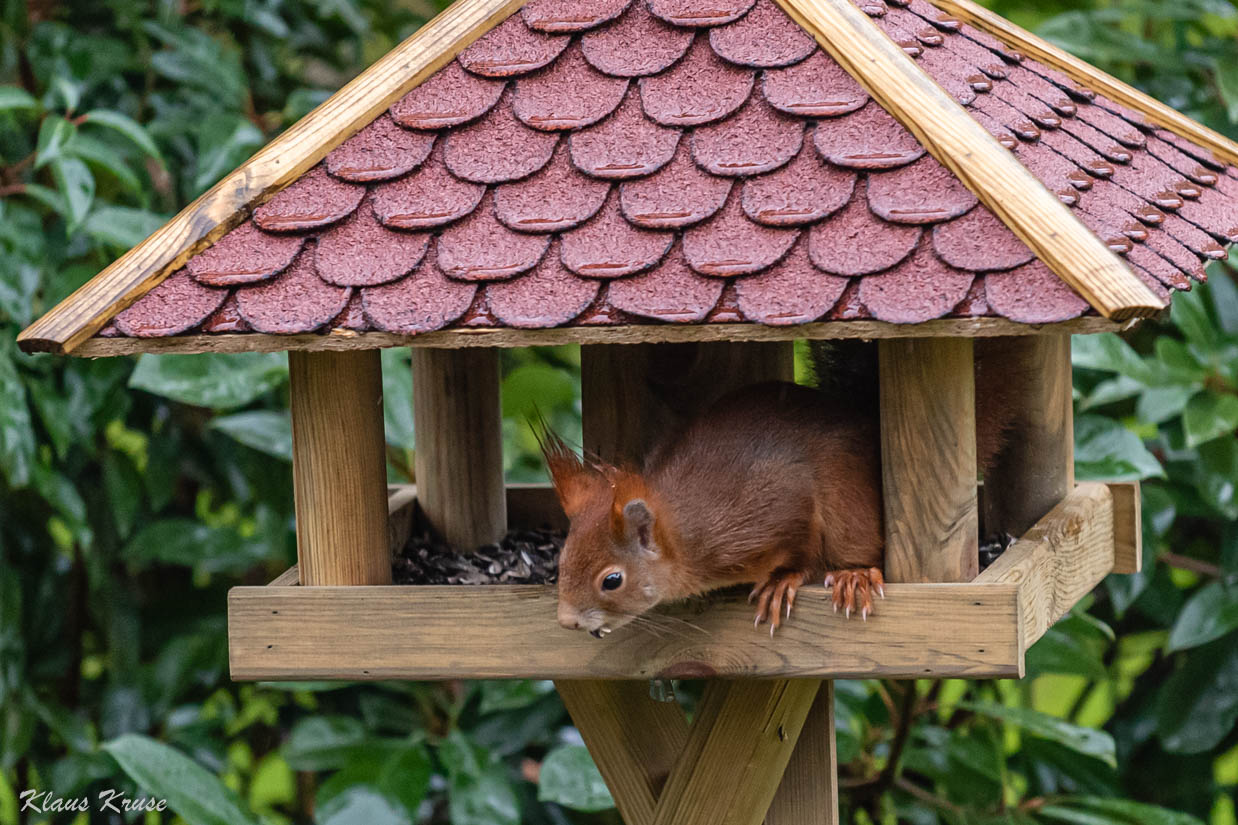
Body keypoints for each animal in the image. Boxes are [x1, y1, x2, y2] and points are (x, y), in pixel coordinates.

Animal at [539, 339, 1015, 634]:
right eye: (561, 560)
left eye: (612, 581)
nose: (566, 622)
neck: (687, 536)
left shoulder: (770, 509)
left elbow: (802, 547)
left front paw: (784, 580)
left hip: (850, 504)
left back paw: (854, 575)